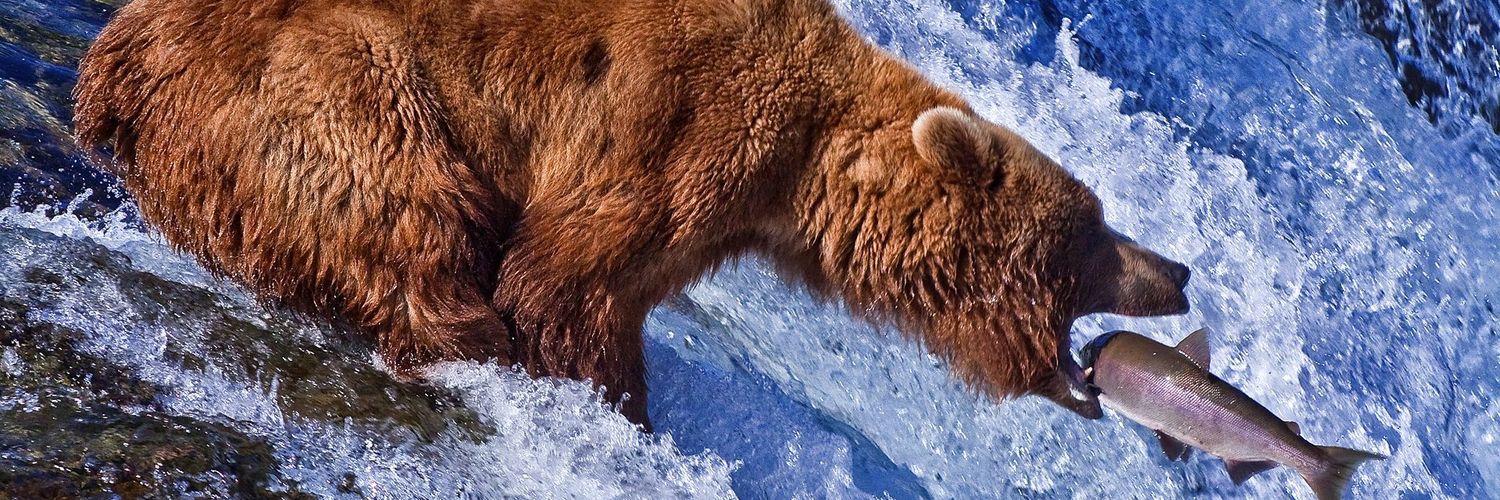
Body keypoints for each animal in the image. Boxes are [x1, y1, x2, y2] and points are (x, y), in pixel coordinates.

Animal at [74, 0, 1190, 427]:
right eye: (1092, 231)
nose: (1178, 268)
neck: (802, 172)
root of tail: (109, 71)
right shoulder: (673, 128)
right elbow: (569, 284)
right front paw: (615, 403)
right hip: (307, 72)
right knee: (400, 199)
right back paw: (456, 333)